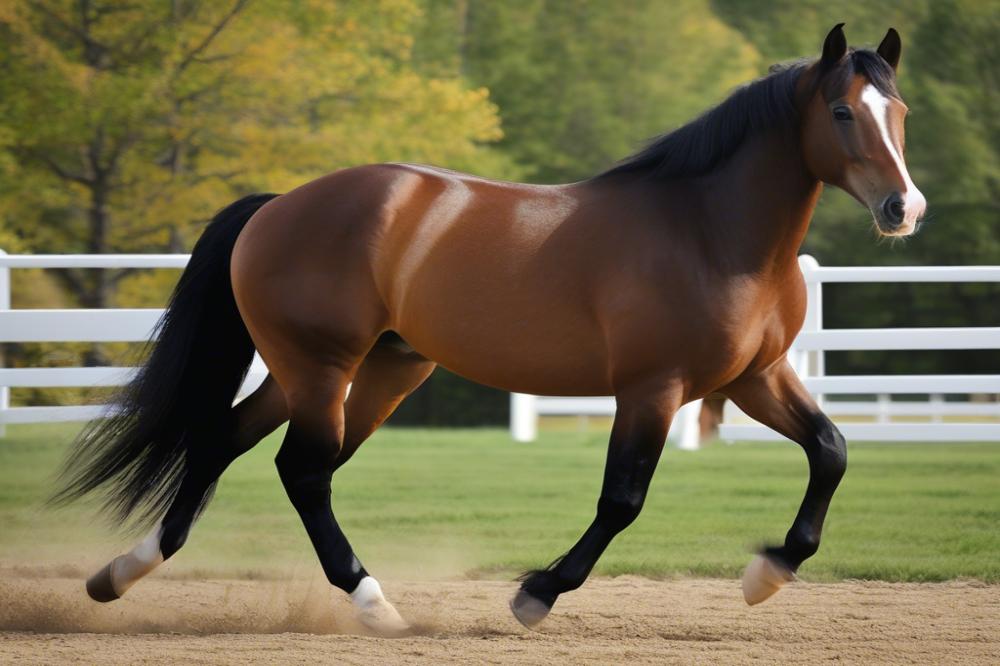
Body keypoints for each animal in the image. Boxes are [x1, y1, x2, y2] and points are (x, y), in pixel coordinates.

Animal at [54, 26, 924, 632]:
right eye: (842, 111)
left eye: (902, 113)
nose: (903, 208)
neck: (708, 230)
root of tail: (278, 205)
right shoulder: (653, 389)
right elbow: (622, 500)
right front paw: (536, 594)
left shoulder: (754, 379)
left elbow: (831, 451)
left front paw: (767, 572)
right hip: (322, 368)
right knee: (302, 471)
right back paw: (373, 604)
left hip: (365, 371)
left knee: (228, 443)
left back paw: (120, 573)